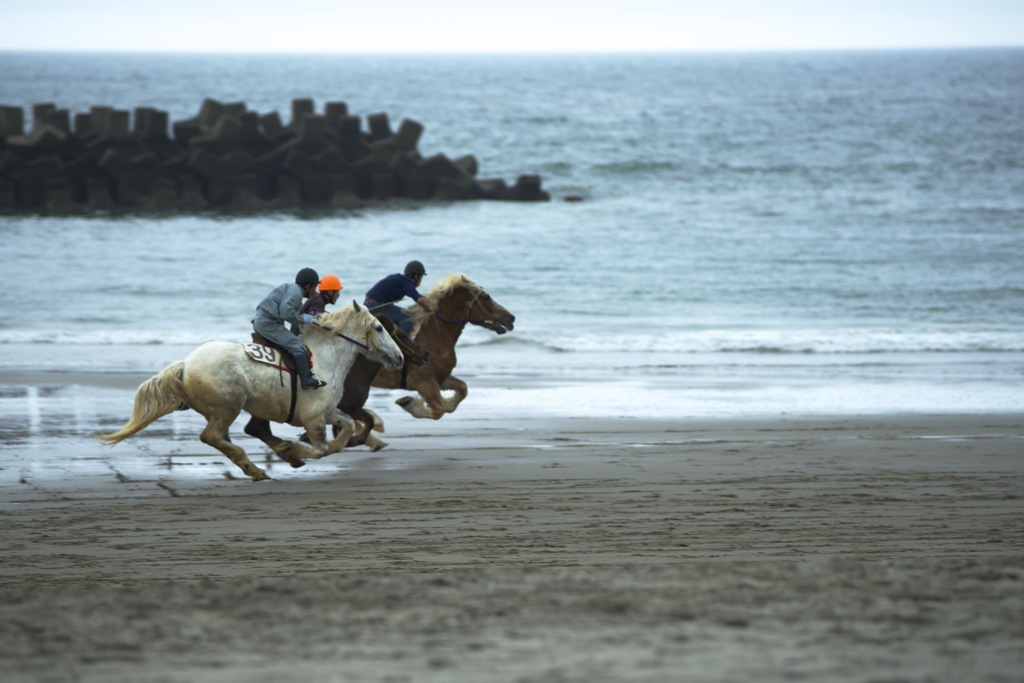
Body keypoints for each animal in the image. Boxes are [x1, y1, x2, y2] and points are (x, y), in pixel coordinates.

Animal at [95, 301, 399, 483]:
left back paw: (251, 466)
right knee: (212, 436)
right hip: (227, 407)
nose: (399, 357)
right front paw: (292, 449)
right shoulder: (313, 418)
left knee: (221, 438)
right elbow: (322, 448)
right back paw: (255, 466)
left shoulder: (329, 411)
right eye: (379, 327)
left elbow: (345, 430)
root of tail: (185, 365)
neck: (324, 359)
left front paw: (293, 451)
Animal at [372, 274, 516, 419]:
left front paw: (447, 401)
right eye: (486, 297)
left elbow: (462, 389)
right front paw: (408, 403)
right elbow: (439, 411)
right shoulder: (423, 381)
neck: (434, 337)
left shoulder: (441, 379)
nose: (511, 318)